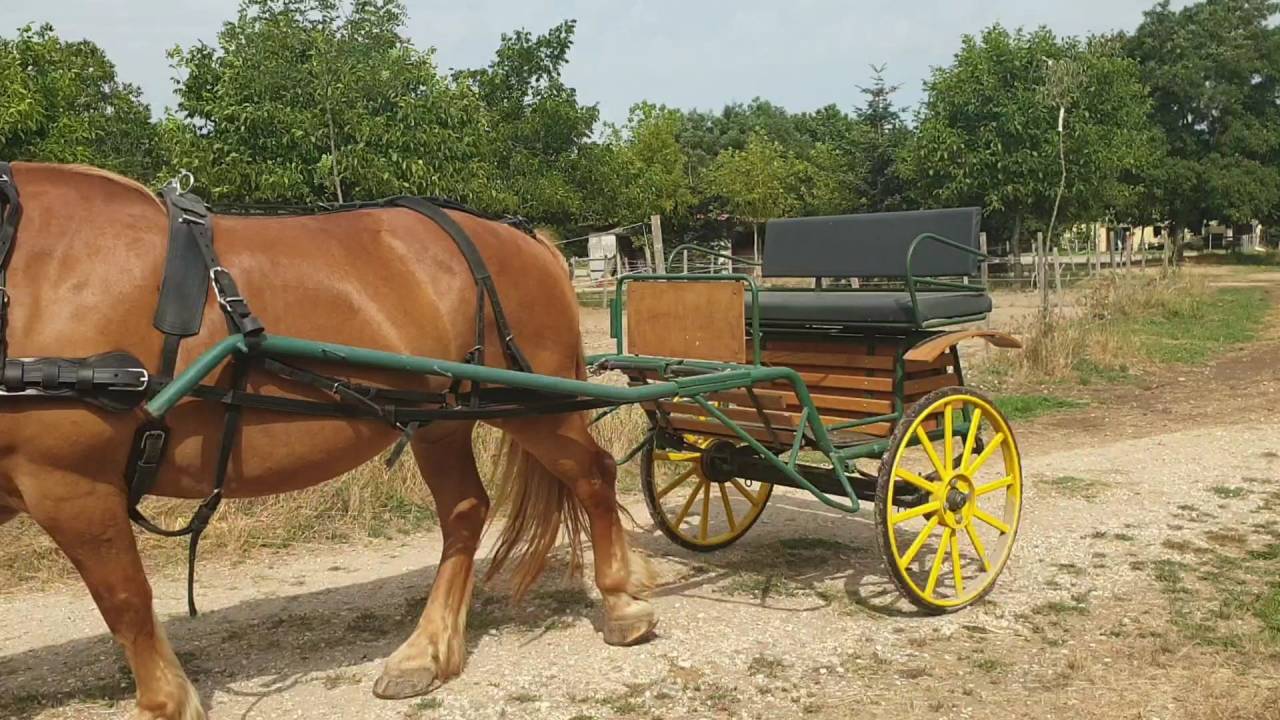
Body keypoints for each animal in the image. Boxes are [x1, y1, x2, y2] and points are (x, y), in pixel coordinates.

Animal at [0, 162, 656, 720]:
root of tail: (526, 239)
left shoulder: (70, 484)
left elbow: (126, 602)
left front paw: (166, 703)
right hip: (442, 421)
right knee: (467, 512)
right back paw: (425, 652)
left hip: (536, 409)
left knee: (594, 474)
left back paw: (622, 602)